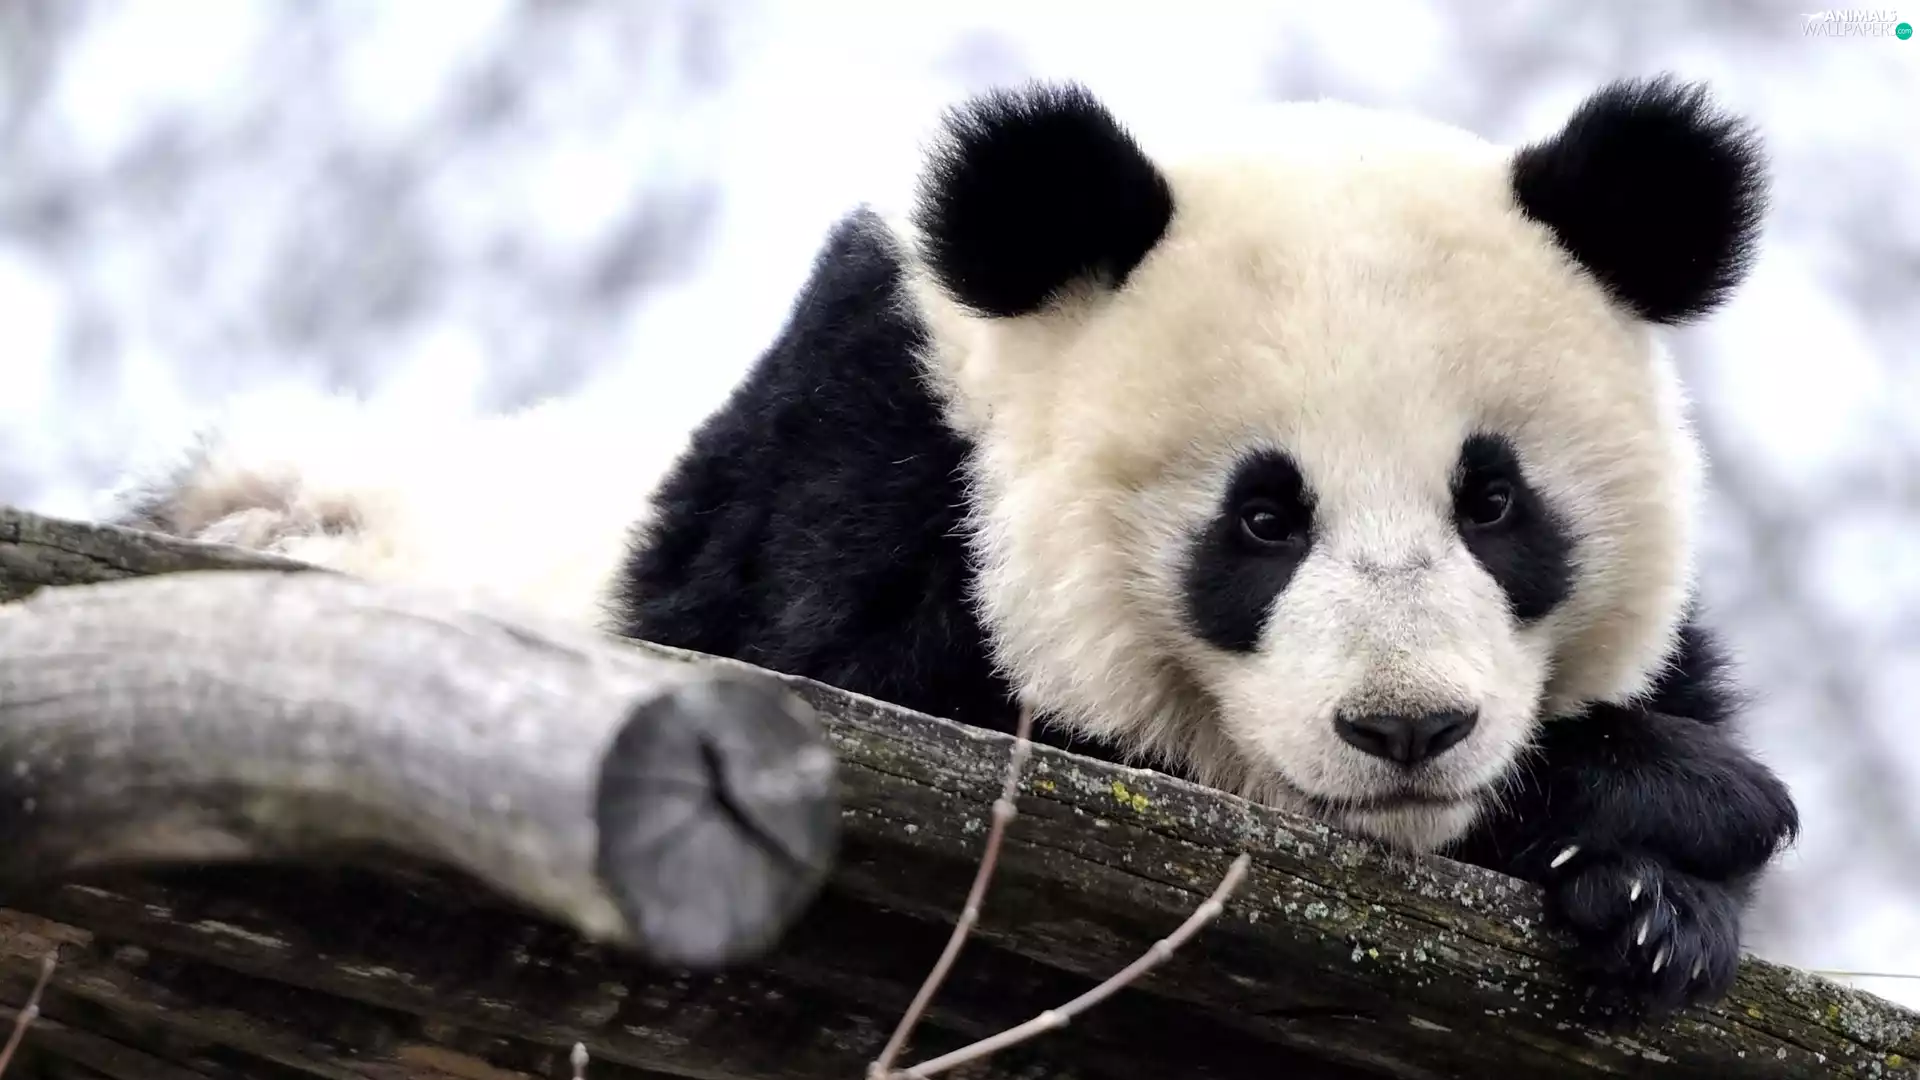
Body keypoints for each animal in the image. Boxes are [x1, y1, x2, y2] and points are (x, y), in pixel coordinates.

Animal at [113, 75, 1798, 1018]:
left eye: (1493, 503)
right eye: (1263, 518)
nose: (1407, 730)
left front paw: (1655, 903)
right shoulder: (854, 482)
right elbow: (906, 697)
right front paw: (1666, 801)